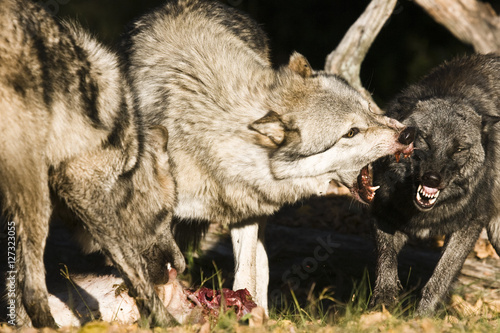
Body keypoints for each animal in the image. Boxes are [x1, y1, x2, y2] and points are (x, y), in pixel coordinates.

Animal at [123, 0, 416, 310]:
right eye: (350, 132)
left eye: (370, 110)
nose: (408, 134)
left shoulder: (245, 211)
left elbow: (246, 274)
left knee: (260, 265)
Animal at [370, 53, 500, 316]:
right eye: (425, 139)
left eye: (459, 149)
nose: (432, 179)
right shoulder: (384, 213)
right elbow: (386, 264)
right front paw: (383, 308)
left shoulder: (470, 225)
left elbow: (439, 280)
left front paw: (422, 318)